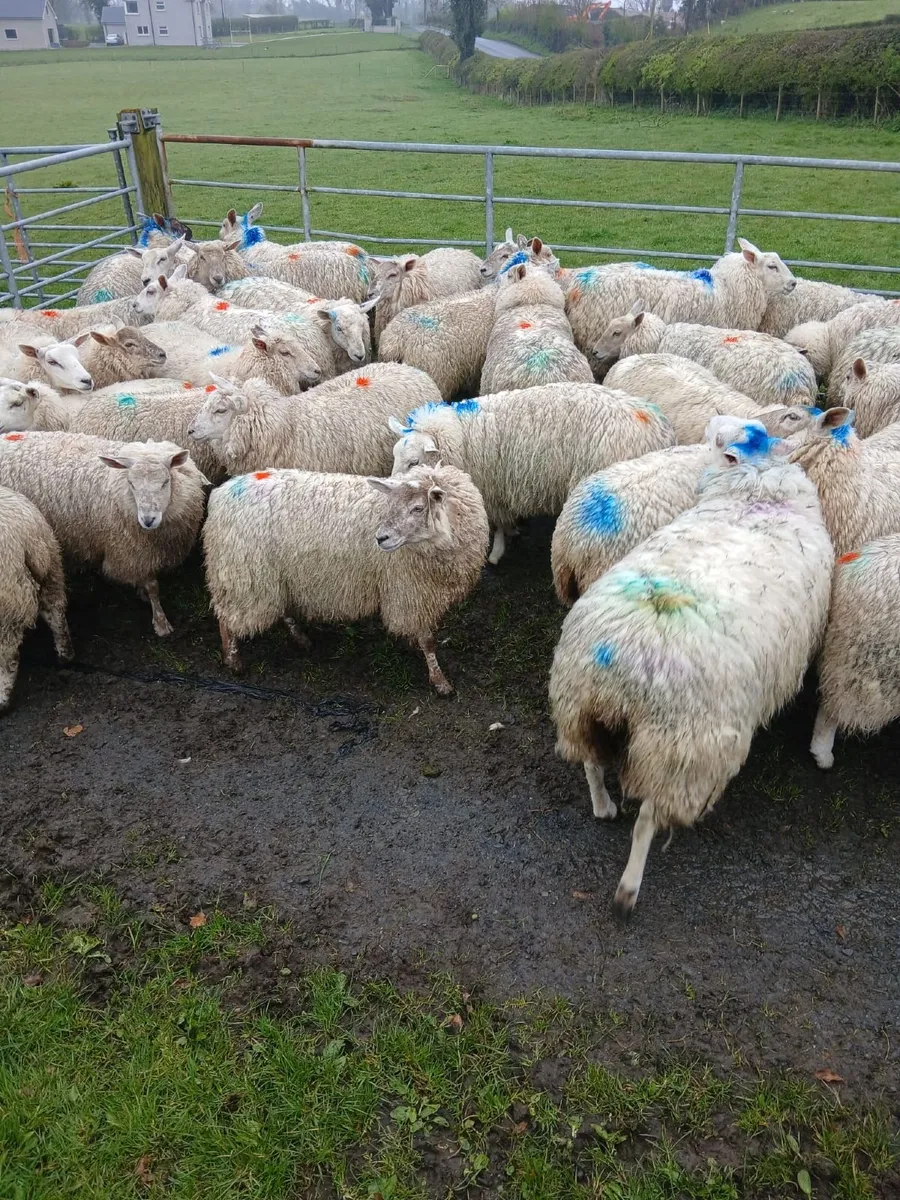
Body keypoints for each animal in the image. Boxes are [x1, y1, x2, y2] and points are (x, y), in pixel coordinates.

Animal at [0, 431, 207, 636]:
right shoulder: (133, 551)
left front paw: (143, 594)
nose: (148, 520)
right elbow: (153, 587)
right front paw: (160, 622)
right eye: (131, 483)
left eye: (165, 482)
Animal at [0, 485, 73, 713]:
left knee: (9, 657)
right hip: (51, 573)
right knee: (56, 614)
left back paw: (3, 701)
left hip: (8, 602)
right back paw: (65, 656)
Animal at [203, 463, 489, 693]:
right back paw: (234, 660)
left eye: (418, 508)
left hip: (273, 574)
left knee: (279, 606)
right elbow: (428, 640)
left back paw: (301, 639)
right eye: (391, 506)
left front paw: (412, 645)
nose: (380, 538)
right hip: (243, 574)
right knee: (226, 617)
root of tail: (221, 495)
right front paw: (440, 682)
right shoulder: (410, 589)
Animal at [389, 384, 675, 565]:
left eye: (414, 462)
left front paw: (498, 551)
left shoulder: (491, 489)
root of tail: (659, 430)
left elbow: (498, 523)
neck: (462, 437)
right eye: (394, 455)